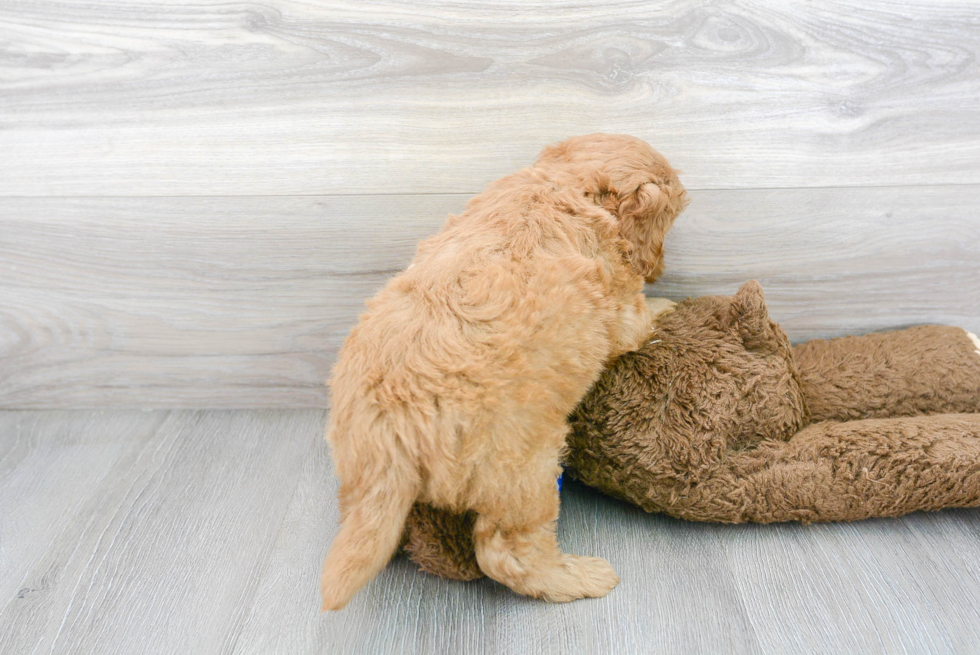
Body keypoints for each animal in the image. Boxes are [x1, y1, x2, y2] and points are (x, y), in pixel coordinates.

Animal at [322, 135, 688, 608]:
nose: (662, 267)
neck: (562, 186)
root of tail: (388, 427)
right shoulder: (621, 303)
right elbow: (638, 322)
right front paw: (668, 305)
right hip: (522, 470)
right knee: (506, 552)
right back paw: (577, 578)